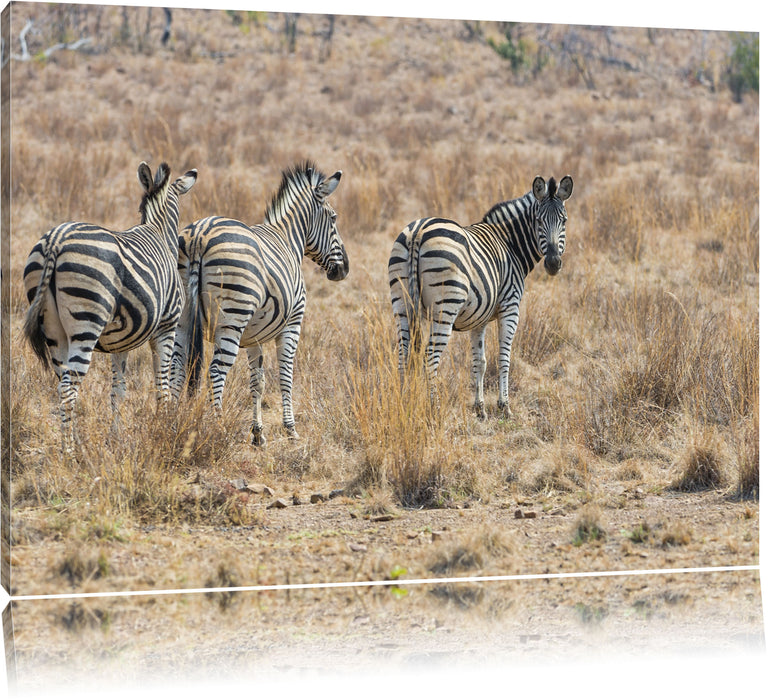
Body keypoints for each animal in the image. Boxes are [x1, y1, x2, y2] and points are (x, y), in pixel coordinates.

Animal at [23, 160, 199, 454]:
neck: (159, 232)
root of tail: (56, 239)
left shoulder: (121, 341)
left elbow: (119, 389)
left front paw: (114, 438)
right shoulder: (167, 326)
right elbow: (161, 384)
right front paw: (165, 429)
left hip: (53, 330)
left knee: (63, 384)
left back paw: (75, 444)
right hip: (86, 321)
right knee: (69, 388)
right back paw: (69, 452)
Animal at [173, 161, 348, 446]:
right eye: (333, 218)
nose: (344, 270)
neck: (288, 238)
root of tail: (200, 234)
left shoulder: (253, 335)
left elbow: (258, 381)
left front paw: (258, 433)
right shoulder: (293, 324)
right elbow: (286, 374)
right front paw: (290, 429)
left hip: (183, 316)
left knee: (178, 366)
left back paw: (171, 421)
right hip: (233, 317)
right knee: (215, 372)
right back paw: (218, 429)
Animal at [392, 175, 572, 422]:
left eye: (564, 221)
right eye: (538, 220)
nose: (553, 263)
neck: (510, 244)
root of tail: (418, 231)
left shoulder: (479, 318)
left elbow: (480, 361)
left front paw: (480, 409)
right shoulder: (510, 307)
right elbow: (504, 358)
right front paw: (504, 406)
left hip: (401, 304)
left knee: (403, 355)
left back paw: (403, 404)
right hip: (445, 307)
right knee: (430, 356)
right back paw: (433, 410)